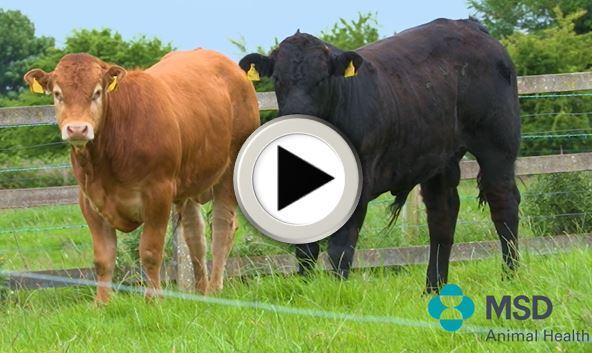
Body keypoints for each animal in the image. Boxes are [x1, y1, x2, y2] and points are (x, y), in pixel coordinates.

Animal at [23, 49, 260, 302]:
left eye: (97, 92)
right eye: (58, 94)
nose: (77, 129)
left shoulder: (158, 194)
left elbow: (149, 251)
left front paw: (153, 299)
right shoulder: (89, 201)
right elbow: (103, 258)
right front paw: (102, 303)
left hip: (230, 169)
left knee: (222, 228)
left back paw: (215, 288)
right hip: (189, 182)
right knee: (195, 235)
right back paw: (201, 292)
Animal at [238, 17, 520, 292]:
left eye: (322, 79)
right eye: (278, 79)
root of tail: (469, 25)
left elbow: (340, 246)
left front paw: (337, 291)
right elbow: (306, 249)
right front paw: (306, 291)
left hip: (498, 146)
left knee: (504, 203)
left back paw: (509, 276)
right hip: (440, 158)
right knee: (443, 215)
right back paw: (433, 287)